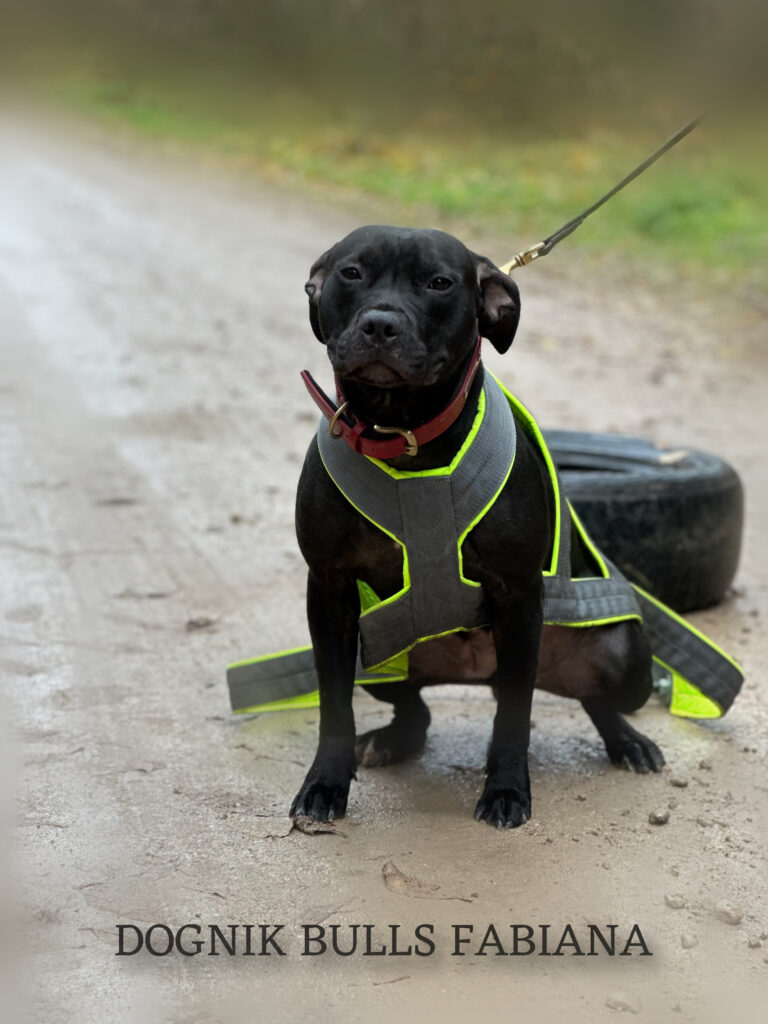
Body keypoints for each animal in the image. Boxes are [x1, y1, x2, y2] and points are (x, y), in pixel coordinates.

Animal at [290, 226, 663, 831]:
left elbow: (513, 715)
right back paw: (389, 740)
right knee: (415, 712)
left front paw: (506, 790)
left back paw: (628, 742)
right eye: (351, 273)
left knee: (594, 700)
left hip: (625, 659)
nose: (380, 325)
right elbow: (334, 707)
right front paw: (325, 783)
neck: (406, 439)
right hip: (379, 653)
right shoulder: (329, 591)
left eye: (440, 283)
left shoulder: (518, 593)